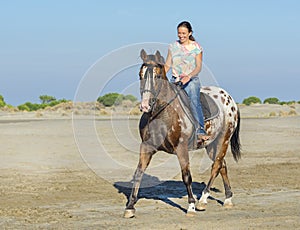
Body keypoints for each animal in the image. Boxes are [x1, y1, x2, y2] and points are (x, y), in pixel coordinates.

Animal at [124, 49, 241, 218]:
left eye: (157, 76)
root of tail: (230, 99)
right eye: (140, 74)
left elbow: (186, 176)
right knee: (222, 166)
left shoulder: (181, 148)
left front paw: (191, 206)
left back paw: (202, 201)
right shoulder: (146, 147)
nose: (145, 105)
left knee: (216, 166)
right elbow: (138, 173)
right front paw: (130, 207)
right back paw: (227, 199)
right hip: (211, 144)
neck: (162, 113)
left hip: (223, 140)